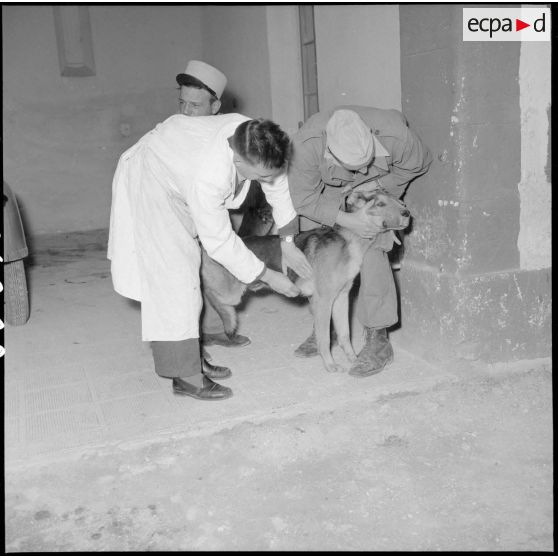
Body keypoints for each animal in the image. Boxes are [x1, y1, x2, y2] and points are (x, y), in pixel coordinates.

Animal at [201, 190, 412, 374]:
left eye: (398, 201)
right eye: (380, 204)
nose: (407, 213)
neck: (349, 241)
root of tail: (205, 250)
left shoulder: (341, 299)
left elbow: (344, 335)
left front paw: (354, 359)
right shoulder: (324, 301)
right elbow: (324, 338)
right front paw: (330, 365)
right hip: (230, 292)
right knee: (210, 298)